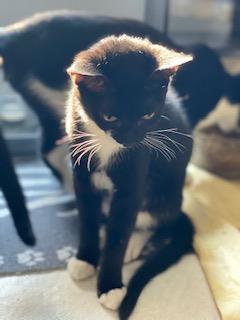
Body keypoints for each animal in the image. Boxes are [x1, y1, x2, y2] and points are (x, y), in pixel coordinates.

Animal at [65, 33, 195, 318]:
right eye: (109, 116)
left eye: (148, 115)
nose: (129, 139)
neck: (106, 144)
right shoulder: (80, 168)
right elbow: (87, 218)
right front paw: (85, 259)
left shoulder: (135, 170)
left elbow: (120, 232)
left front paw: (111, 287)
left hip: (166, 192)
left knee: (157, 220)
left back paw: (135, 243)